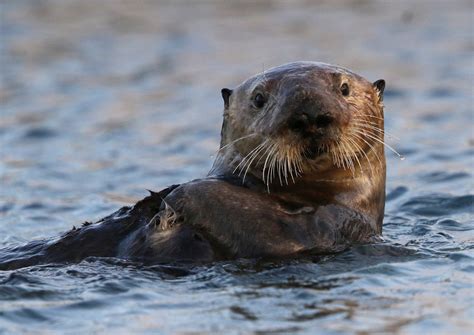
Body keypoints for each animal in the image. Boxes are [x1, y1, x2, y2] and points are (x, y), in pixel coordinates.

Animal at [0, 61, 386, 270]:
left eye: (345, 88)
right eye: (260, 99)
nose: (310, 116)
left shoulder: (338, 225)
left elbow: (278, 231)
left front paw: (174, 198)